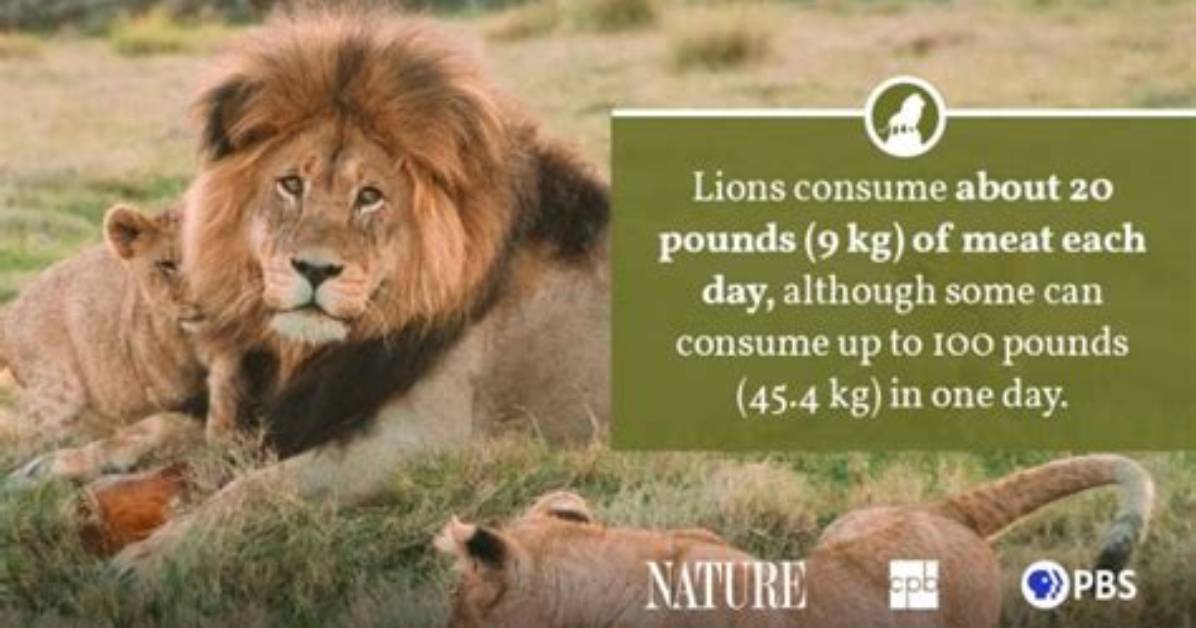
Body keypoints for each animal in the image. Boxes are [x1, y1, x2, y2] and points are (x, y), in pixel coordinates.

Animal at [111, 10, 610, 573]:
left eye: (370, 197)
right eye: (291, 185)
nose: (314, 268)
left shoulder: (422, 440)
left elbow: (257, 487)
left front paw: (150, 556)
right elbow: (169, 426)